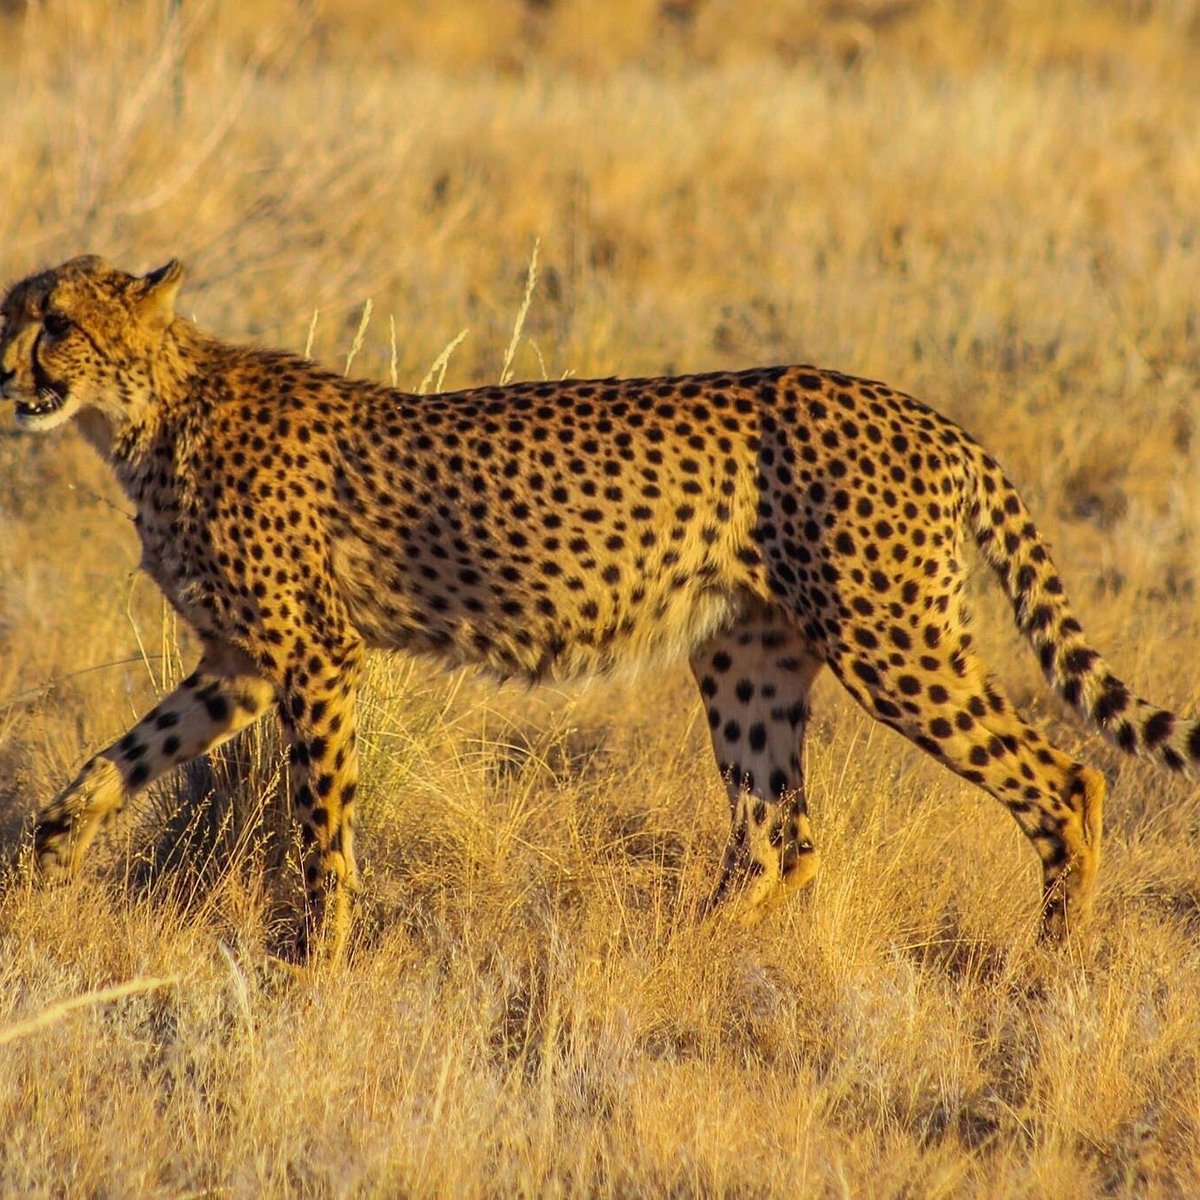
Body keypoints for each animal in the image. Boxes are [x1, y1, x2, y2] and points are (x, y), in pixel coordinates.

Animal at [2, 253, 1200, 955]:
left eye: (54, 323)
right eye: (14, 313)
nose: (7, 377)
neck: (147, 410)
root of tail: (921, 411)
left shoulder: (315, 657)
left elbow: (319, 822)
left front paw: (319, 959)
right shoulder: (242, 664)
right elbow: (112, 763)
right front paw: (45, 872)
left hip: (893, 641)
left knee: (1065, 779)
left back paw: (1049, 965)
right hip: (748, 656)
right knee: (781, 837)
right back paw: (683, 956)